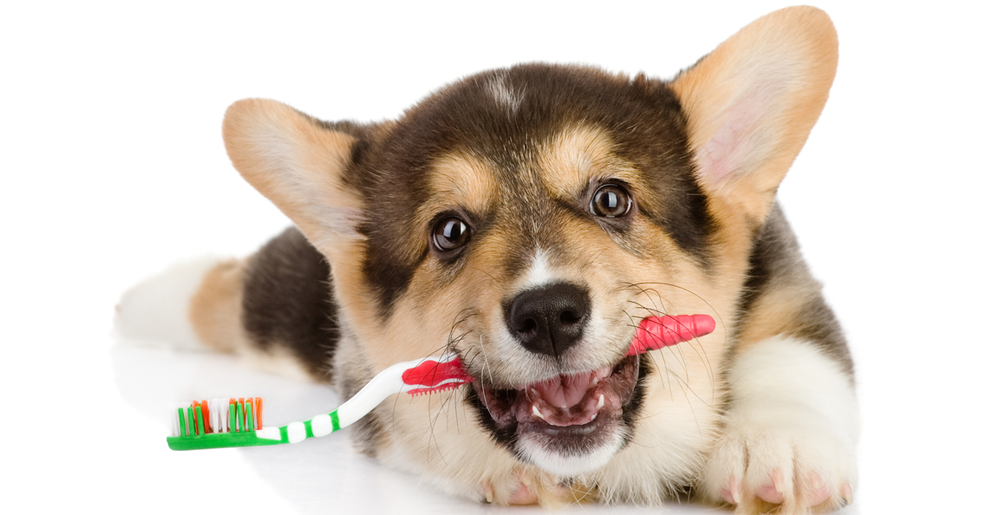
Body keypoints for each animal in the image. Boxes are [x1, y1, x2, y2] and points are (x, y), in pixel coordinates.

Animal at [119, 6, 860, 512]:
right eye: (449, 231)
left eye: (612, 199)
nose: (548, 314)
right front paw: (509, 474)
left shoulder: (787, 280)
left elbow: (792, 354)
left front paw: (776, 446)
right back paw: (144, 300)